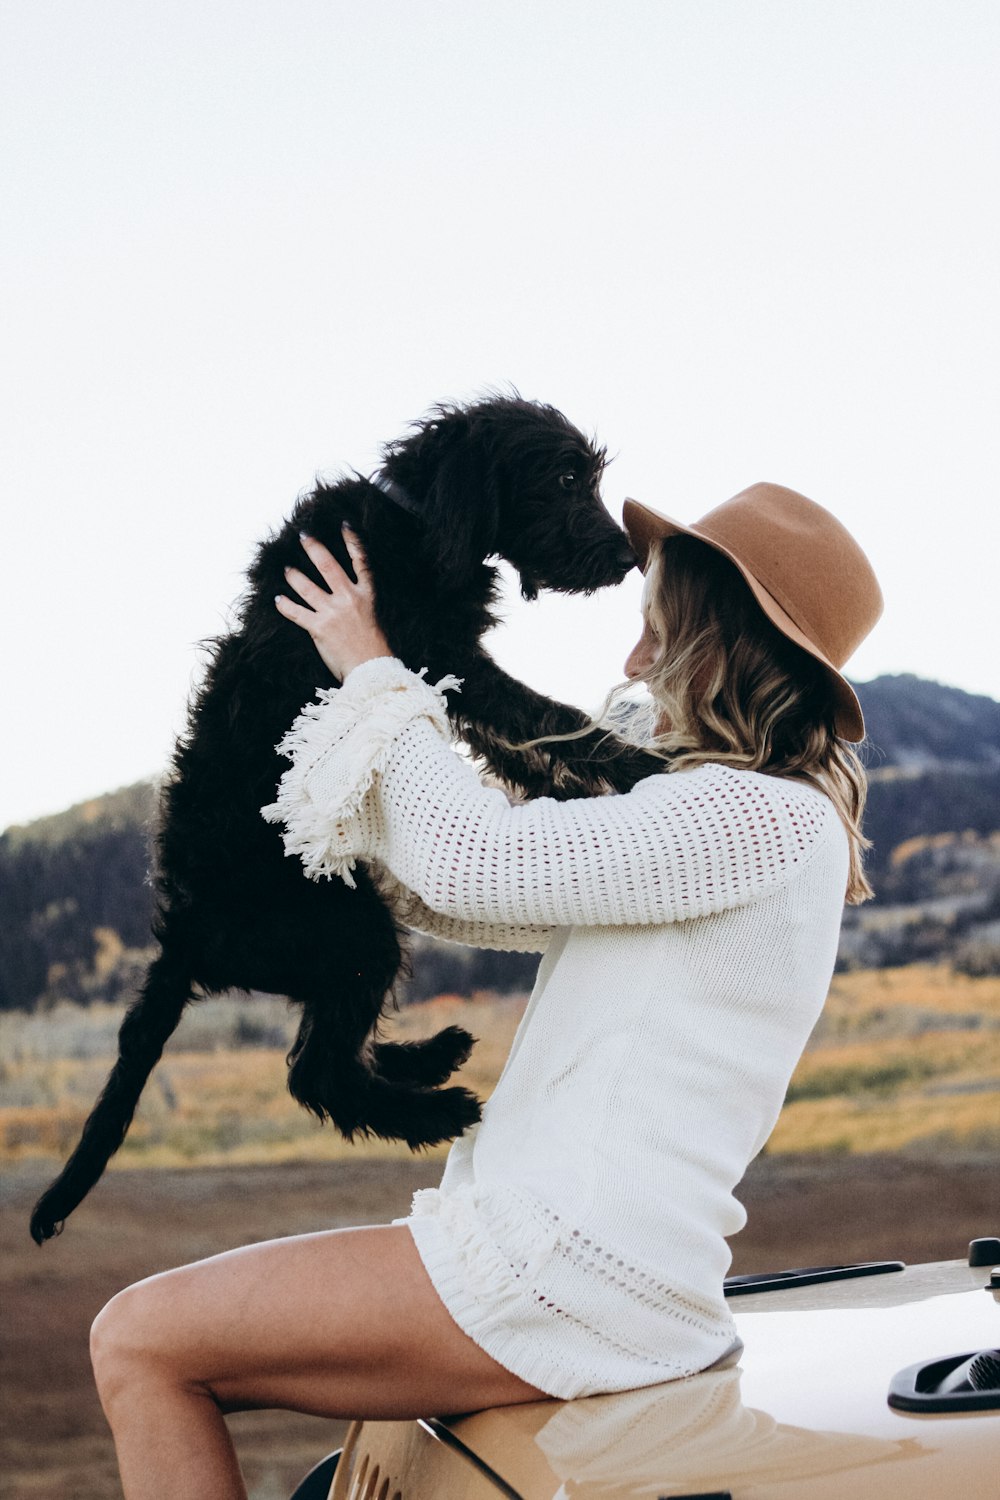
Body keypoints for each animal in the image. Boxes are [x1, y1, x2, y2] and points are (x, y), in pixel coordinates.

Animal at [29, 396, 665, 1242]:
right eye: (566, 478)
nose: (627, 556)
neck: (416, 519)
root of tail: (183, 937)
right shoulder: (448, 658)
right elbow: (550, 719)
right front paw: (642, 767)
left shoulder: (447, 670)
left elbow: (526, 746)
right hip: (354, 932)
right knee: (316, 1073)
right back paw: (436, 1109)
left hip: (342, 942)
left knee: (331, 1051)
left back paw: (429, 1056)